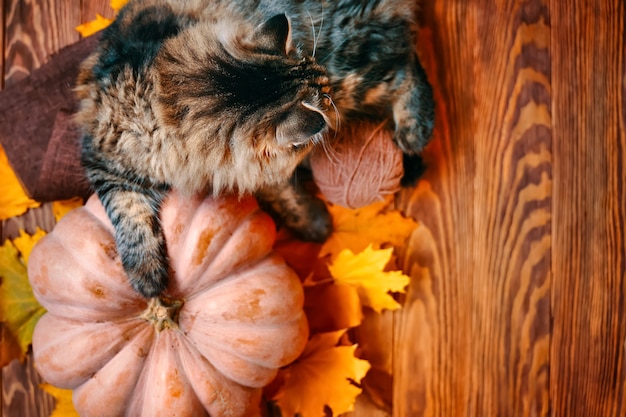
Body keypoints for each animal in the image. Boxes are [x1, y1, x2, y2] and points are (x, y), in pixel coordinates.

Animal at [74, 0, 434, 300]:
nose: (328, 89)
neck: (168, 110)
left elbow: (281, 190)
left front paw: (313, 223)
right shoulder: (104, 161)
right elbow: (129, 217)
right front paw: (147, 280)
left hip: (354, 71)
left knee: (408, 69)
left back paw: (413, 133)